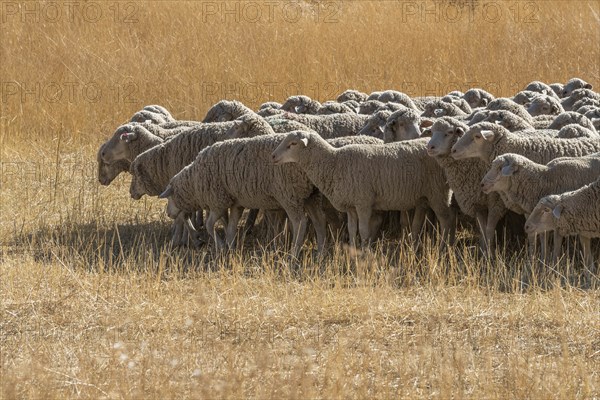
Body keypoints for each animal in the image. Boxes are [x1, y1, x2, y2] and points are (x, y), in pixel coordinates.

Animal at [426, 116, 506, 253]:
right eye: (431, 131)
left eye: (449, 132)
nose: (430, 147)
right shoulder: (477, 202)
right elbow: (482, 228)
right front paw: (482, 249)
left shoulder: (495, 201)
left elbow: (489, 228)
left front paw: (489, 253)